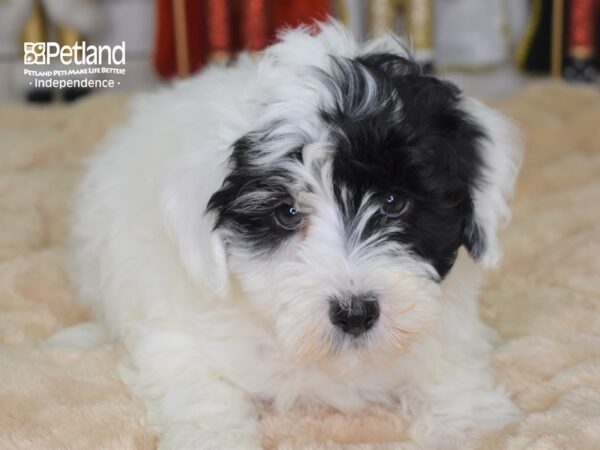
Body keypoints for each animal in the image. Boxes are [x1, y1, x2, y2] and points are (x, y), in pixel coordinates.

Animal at [69, 21, 520, 450]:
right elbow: (202, 393)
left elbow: (447, 364)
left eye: (393, 202)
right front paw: (213, 438)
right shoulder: (176, 335)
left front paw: (470, 424)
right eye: (286, 213)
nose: (355, 313)